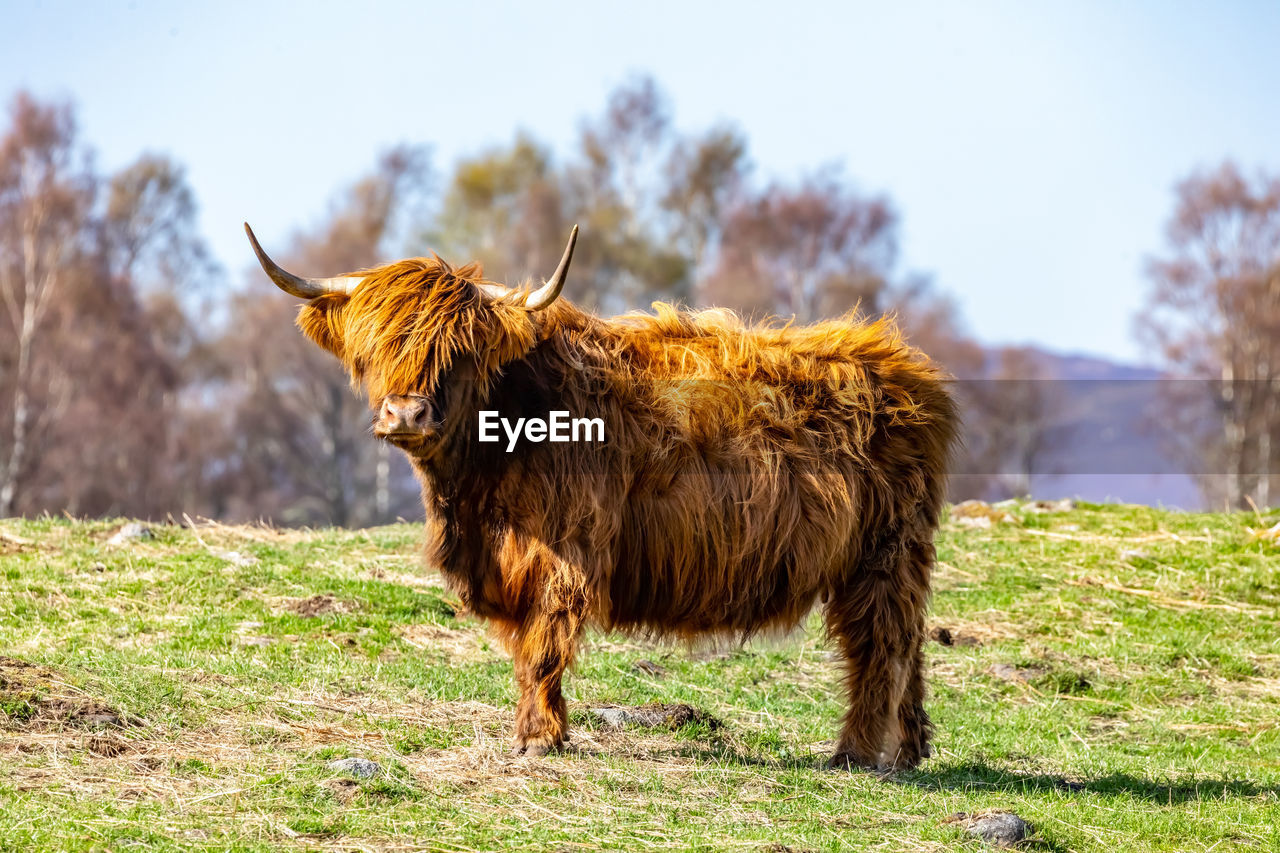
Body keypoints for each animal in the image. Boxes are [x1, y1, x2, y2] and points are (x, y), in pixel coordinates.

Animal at [244, 222, 957, 768]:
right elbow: (524, 648)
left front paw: (539, 739)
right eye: (370, 349)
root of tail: (901, 363)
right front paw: (535, 732)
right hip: (899, 558)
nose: (406, 415)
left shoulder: (563, 551)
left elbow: (544, 646)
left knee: (881, 645)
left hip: (883, 553)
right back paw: (910, 750)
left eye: (460, 352)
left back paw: (856, 753)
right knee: (911, 642)